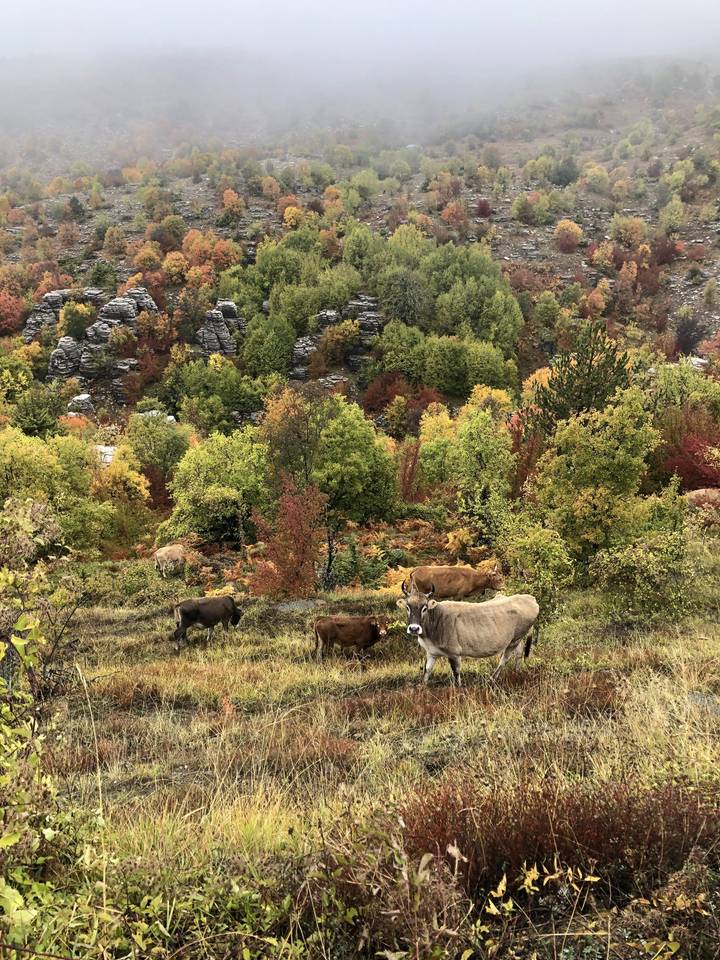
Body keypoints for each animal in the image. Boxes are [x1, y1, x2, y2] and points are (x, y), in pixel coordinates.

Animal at [398, 580, 539, 686]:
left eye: (425, 608)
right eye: (407, 607)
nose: (414, 628)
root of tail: (529, 597)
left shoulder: (454, 652)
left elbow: (456, 672)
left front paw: (459, 688)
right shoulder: (431, 652)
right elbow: (427, 671)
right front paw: (423, 687)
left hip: (515, 639)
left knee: (504, 658)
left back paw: (492, 679)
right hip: (516, 639)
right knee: (519, 653)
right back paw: (516, 672)